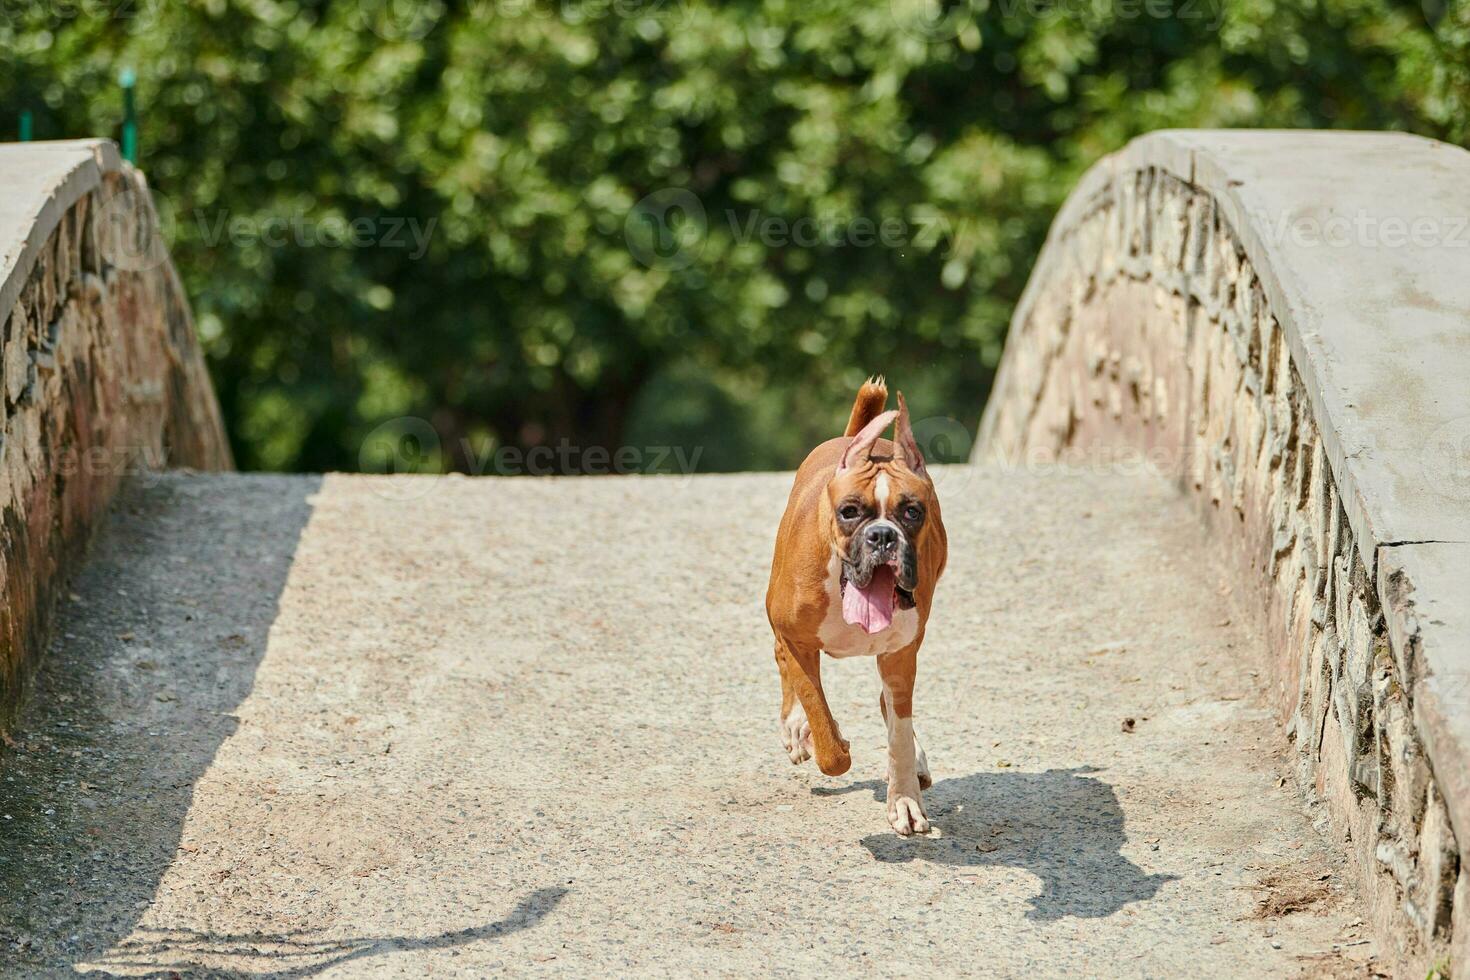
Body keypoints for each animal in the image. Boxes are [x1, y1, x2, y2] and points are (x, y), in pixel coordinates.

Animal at [764, 379, 946, 840]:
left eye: (912, 511)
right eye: (849, 512)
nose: (882, 536)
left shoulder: (900, 655)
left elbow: (898, 731)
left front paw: (904, 799)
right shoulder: (797, 641)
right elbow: (825, 733)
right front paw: (823, 737)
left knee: (890, 708)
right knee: (782, 662)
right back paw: (797, 727)